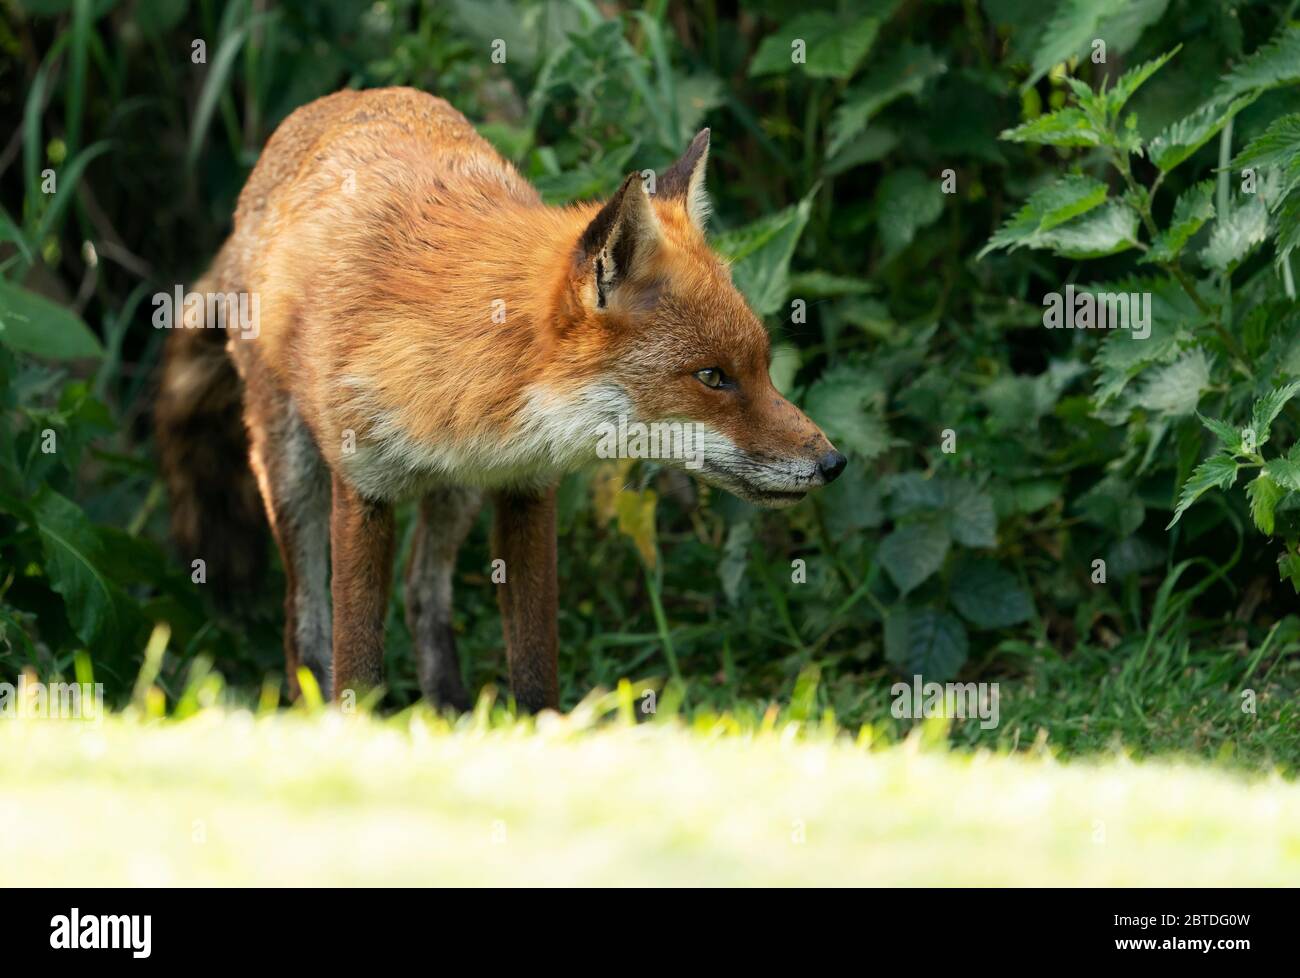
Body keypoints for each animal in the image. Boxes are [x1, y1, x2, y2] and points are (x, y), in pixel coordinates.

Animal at [154, 87, 842, 712]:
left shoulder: (527, 487)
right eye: (712, 377)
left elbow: (535, 666)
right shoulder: (362, 488)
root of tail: (339, 99)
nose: (833, 463)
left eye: (763, 367)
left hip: (455, 494)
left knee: (422, 591)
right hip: (291, 470)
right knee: (304, 616)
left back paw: (451, 711)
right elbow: (358, 665)